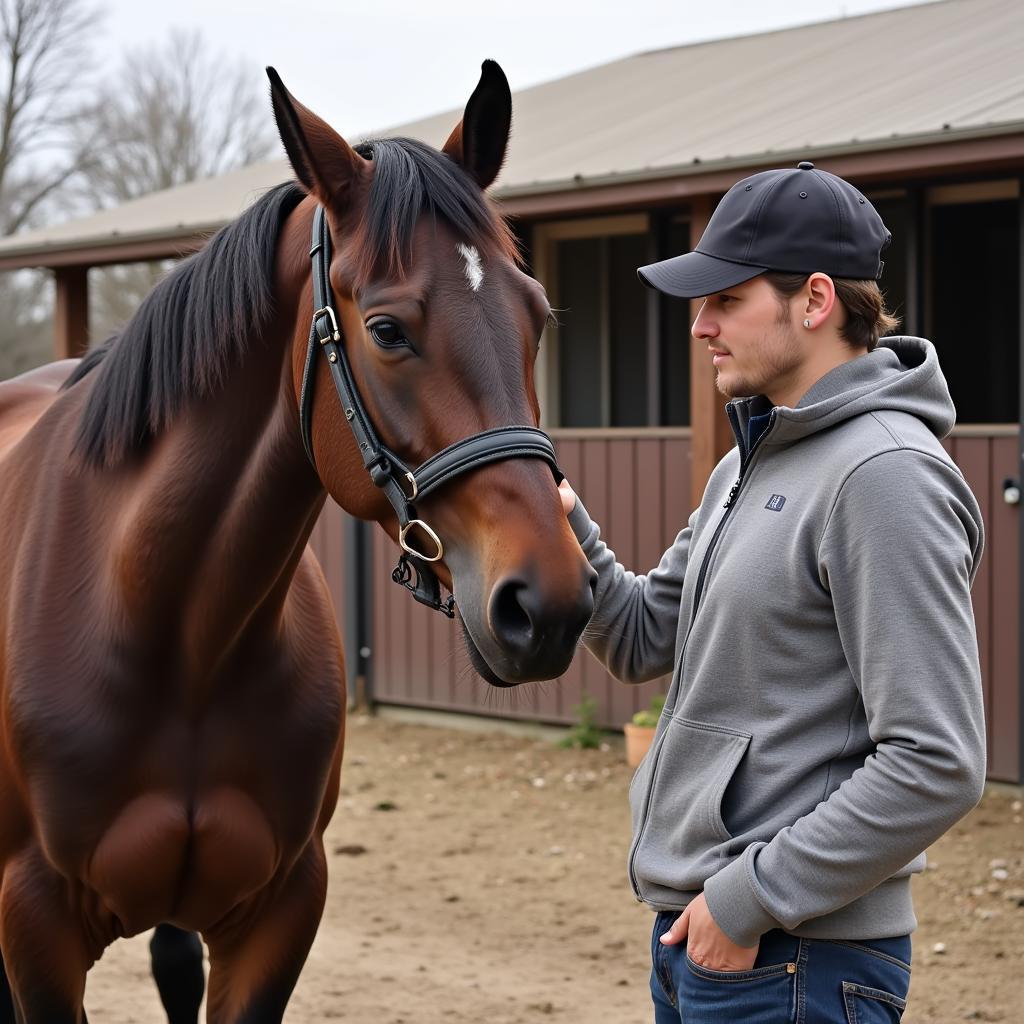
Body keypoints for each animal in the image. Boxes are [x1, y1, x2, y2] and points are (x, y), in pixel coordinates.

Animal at [0, 61, 598, 1015]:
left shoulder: (277, 914)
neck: (178, 641)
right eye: (387, 329)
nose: (548, 605)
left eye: (536, 313)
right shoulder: (35, 930)